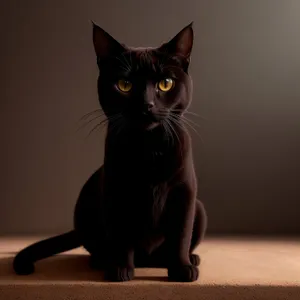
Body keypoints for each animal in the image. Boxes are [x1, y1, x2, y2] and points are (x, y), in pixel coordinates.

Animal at [12, 22, 207, 282]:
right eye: (124, 85)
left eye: (166, 83)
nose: (146, 105)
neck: (148, 148)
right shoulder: (116, 191)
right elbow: (121, 236)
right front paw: (120, 270)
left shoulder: (183, 193)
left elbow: (181, 235)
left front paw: (180, 269)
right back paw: (102, 261)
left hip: (200, 210)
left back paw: (189, 259)